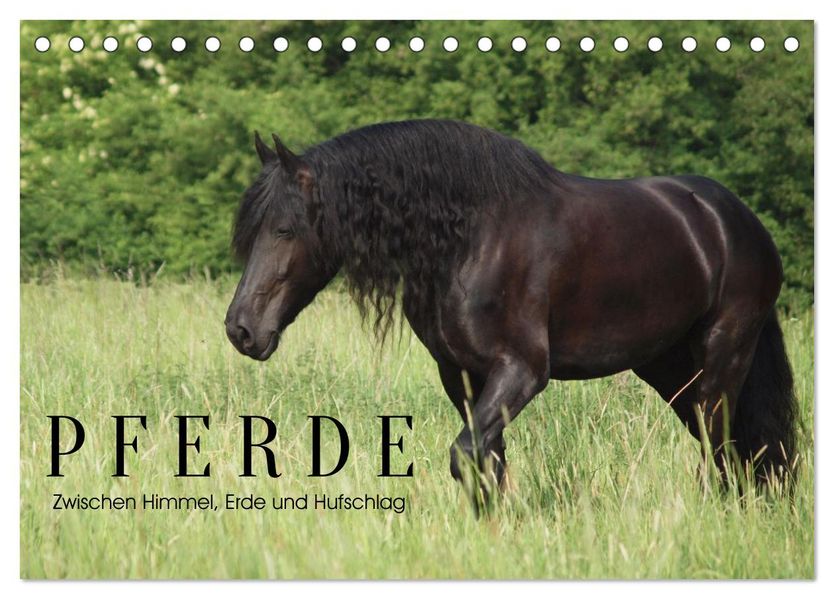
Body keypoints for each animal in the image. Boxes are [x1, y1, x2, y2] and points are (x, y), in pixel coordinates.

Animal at [225, 119, 796, 507]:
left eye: (284, 230)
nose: (241, 330)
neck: (471, 239)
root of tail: (735, 220)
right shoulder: (464, 376)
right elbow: (487, 464)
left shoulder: (522, 371)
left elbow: (466, 456)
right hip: (670, 368)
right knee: (732, 446)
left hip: (722, 359)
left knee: (723, 448)